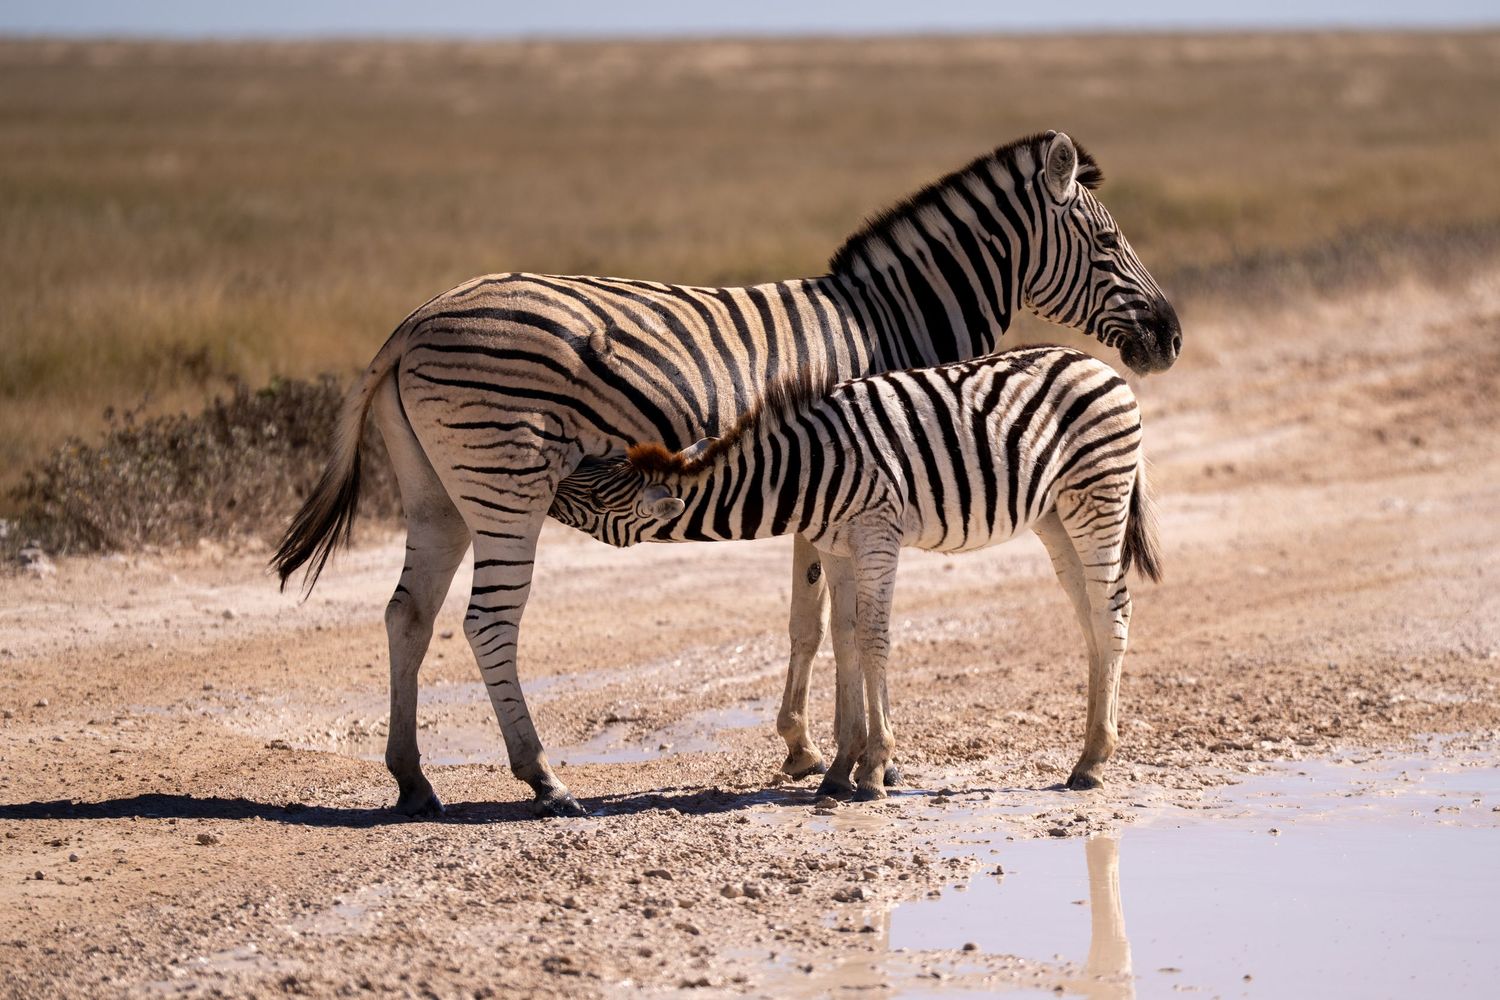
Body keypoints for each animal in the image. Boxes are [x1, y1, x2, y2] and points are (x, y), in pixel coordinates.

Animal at [565, 345, 1161, 799]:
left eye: (594, 495)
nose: (557, 473)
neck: (801, 470)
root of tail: (1101, 365)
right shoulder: (836, 548)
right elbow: (844, 637)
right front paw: (838, 769)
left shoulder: (876, 536)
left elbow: (874, 638)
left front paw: (873, 767)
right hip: (1054, 517)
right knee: (1090, 616)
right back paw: (1088, 751)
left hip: (1097, 497)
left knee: (1113, 612)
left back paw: (1093, 762)